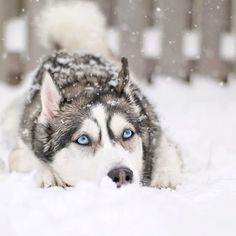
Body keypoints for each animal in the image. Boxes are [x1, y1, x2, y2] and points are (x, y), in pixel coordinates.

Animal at [8, 0, 182, 187]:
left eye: (127, 133)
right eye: (83, 140)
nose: (122, 174)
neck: (89, 84)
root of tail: (75, 50)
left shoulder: (157, 133)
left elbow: (167, 151)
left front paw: (166, 176)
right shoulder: (21, 148)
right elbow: (28, 158)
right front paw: (48, 172)